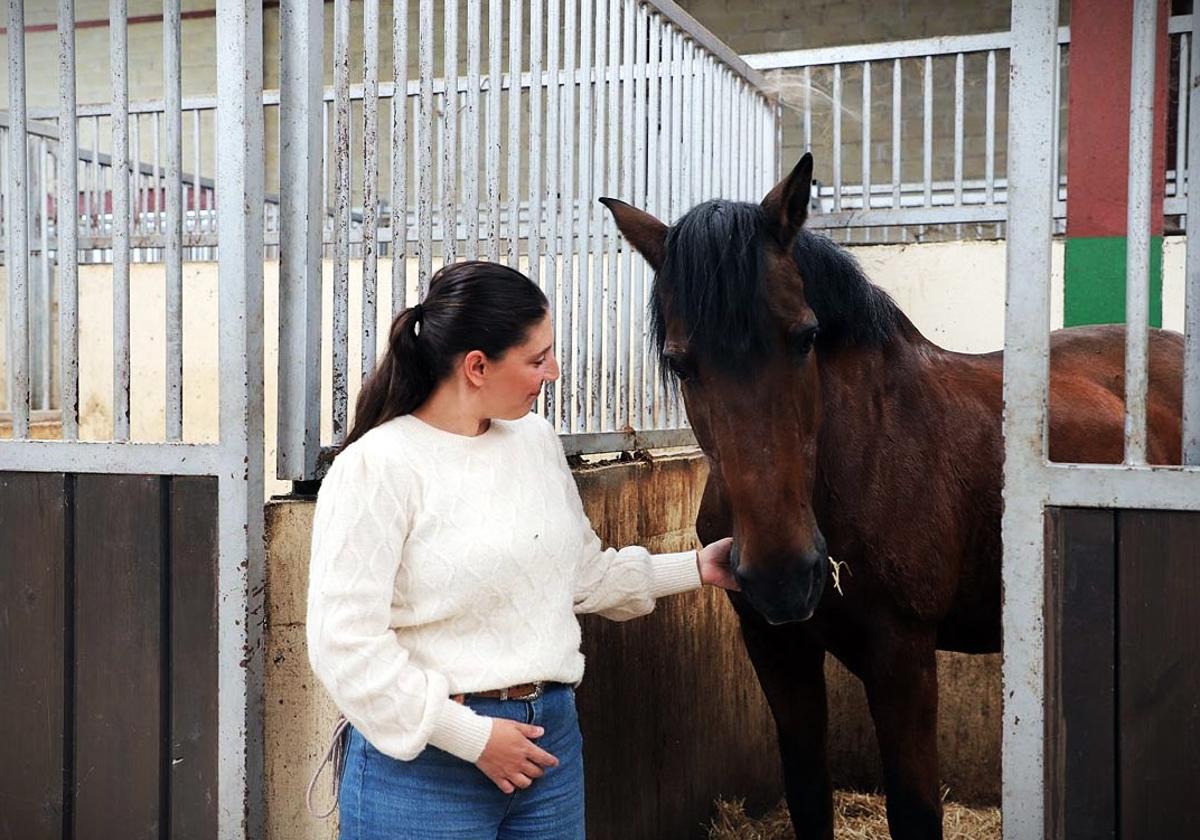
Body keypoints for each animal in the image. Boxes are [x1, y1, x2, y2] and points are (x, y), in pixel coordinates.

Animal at [604, 154, 1185, 835]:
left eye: (806, 336)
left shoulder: (903, 657)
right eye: (680, 362)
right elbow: (808, 795)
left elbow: (914, 810)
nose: (784, 574)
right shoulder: (777, 648)